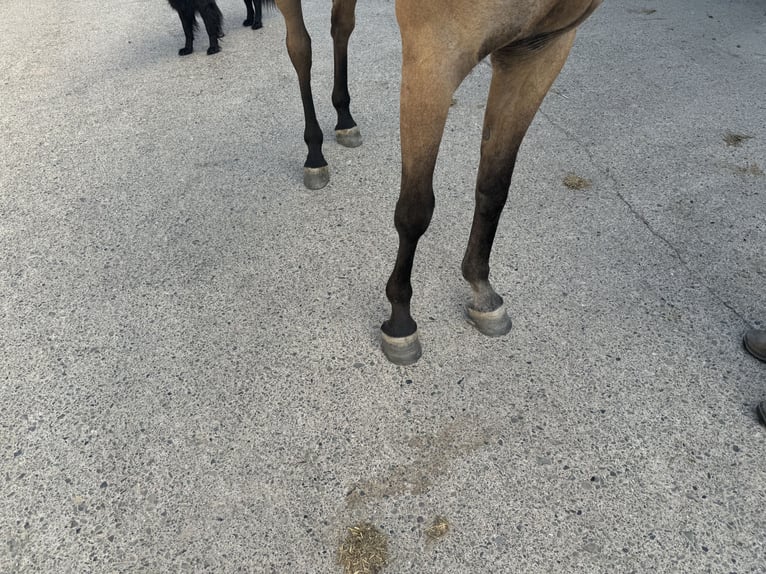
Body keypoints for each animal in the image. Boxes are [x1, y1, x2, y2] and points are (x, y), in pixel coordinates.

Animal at [276, 1, 608, 364]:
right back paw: (314, 153)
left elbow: (494, 187)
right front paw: (400, 319)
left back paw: (345, 119)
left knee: (341, 27)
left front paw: (481, 290)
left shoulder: (540, 50)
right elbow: (415, 210)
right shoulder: (433, 57)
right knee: (300, 48)